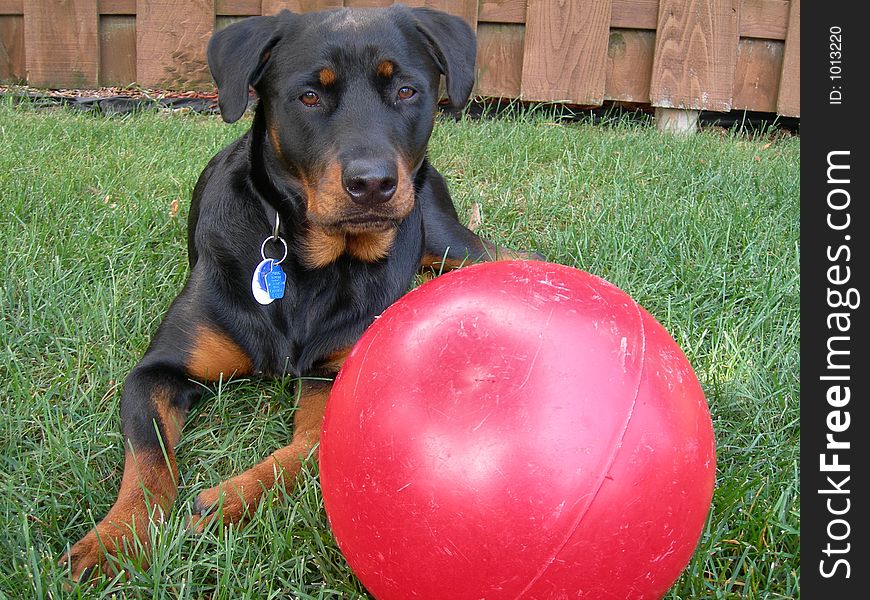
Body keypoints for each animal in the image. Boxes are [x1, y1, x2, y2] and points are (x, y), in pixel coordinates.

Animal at [63, 3, 540, 580]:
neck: (312, 264)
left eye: (406, 90)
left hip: (449, 239)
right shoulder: (156, 372)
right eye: (309, 96)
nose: (372, 183)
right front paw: (114, 540)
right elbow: (148, 460)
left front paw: (234, 496)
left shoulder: (338, 370)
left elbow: (312, 445)